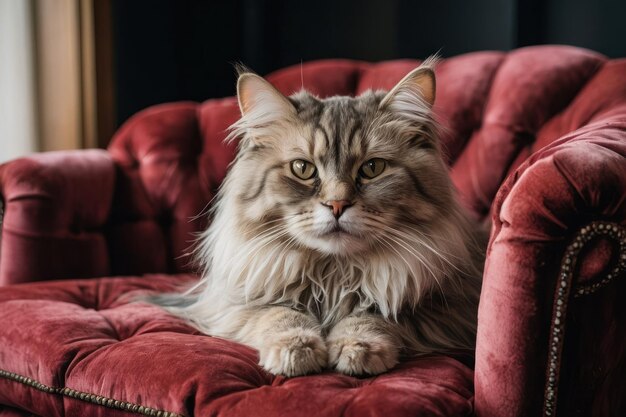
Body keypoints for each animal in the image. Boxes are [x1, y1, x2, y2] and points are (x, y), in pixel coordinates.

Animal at [154, 57, 486, 378]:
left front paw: (357, 347)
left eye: (373, 168)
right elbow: (277, 314)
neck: (333, 276)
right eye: (302, 168)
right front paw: (296, 349)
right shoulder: (232, 303)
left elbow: (376, 314)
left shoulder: (448, 308)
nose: (337, 204)